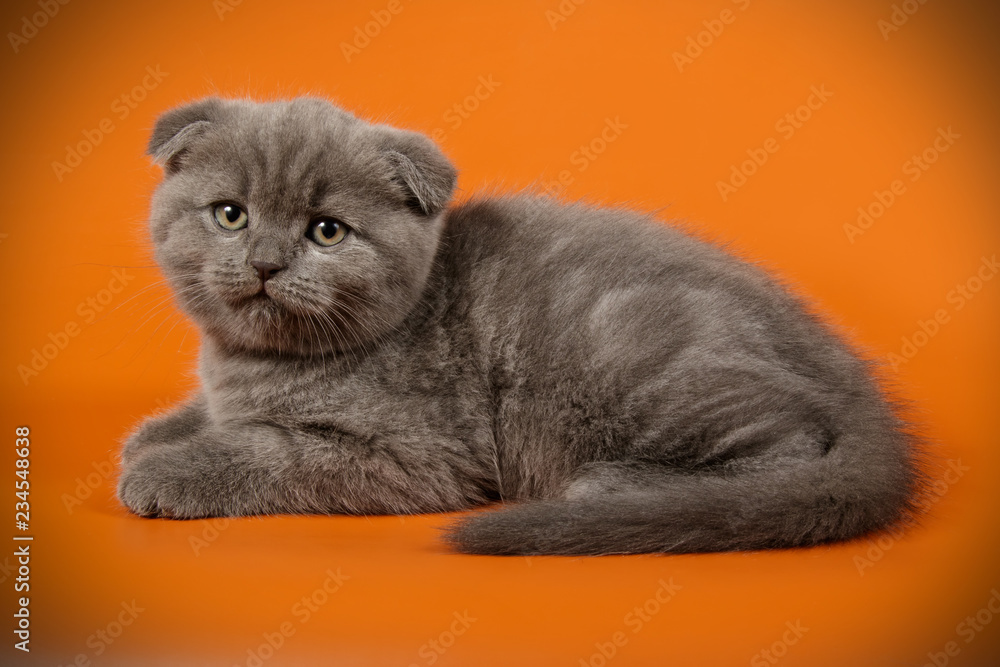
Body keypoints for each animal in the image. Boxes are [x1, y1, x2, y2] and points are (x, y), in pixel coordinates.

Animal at [121, 96, 924, 556]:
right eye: (231, 214)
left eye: (326, 231)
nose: (264, 262)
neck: (255, 363)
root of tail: (847, 367)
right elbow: (212, 418)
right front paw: (154, 434)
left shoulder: (414, 455)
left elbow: (268, 451)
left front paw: (161, 471)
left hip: (635, 355)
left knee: (790, 449)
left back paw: (615, 486)